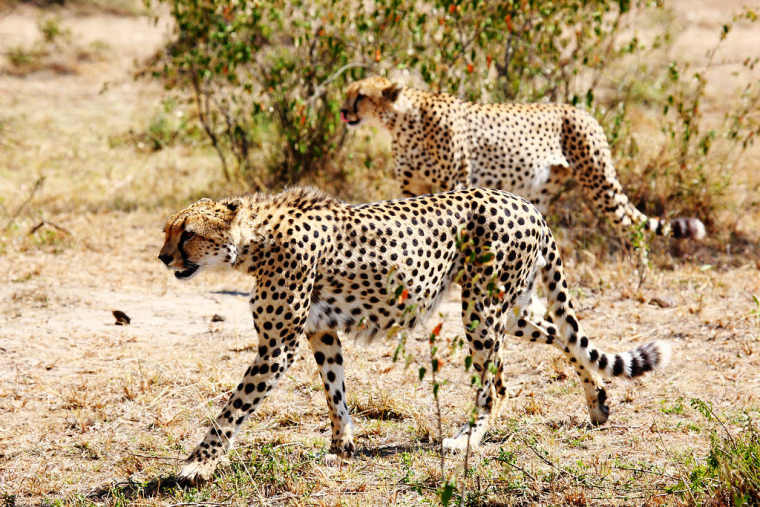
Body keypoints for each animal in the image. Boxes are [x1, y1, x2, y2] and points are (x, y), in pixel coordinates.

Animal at [157, 187, 668, 480]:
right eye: (168, 231)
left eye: (188, 234)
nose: (163, 258)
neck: (254, 241)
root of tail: (525, 203)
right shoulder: (321, 333)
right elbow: (335, 392)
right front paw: (342, 448)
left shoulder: (277, 345)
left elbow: (233, 408)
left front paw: (197, 464)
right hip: (513, 310)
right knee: (563, 339)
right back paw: (597, 401)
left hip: (482, 308)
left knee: (496, 384)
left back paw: (467, 439)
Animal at [340, 75, 708, 242]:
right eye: (347, 94)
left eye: (360, 96)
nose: (343, 112)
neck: (402, 123)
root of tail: (584, 111)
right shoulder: (410, 190)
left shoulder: (453, 184)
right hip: (543, 191)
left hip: (599, 182)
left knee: (631, 225)